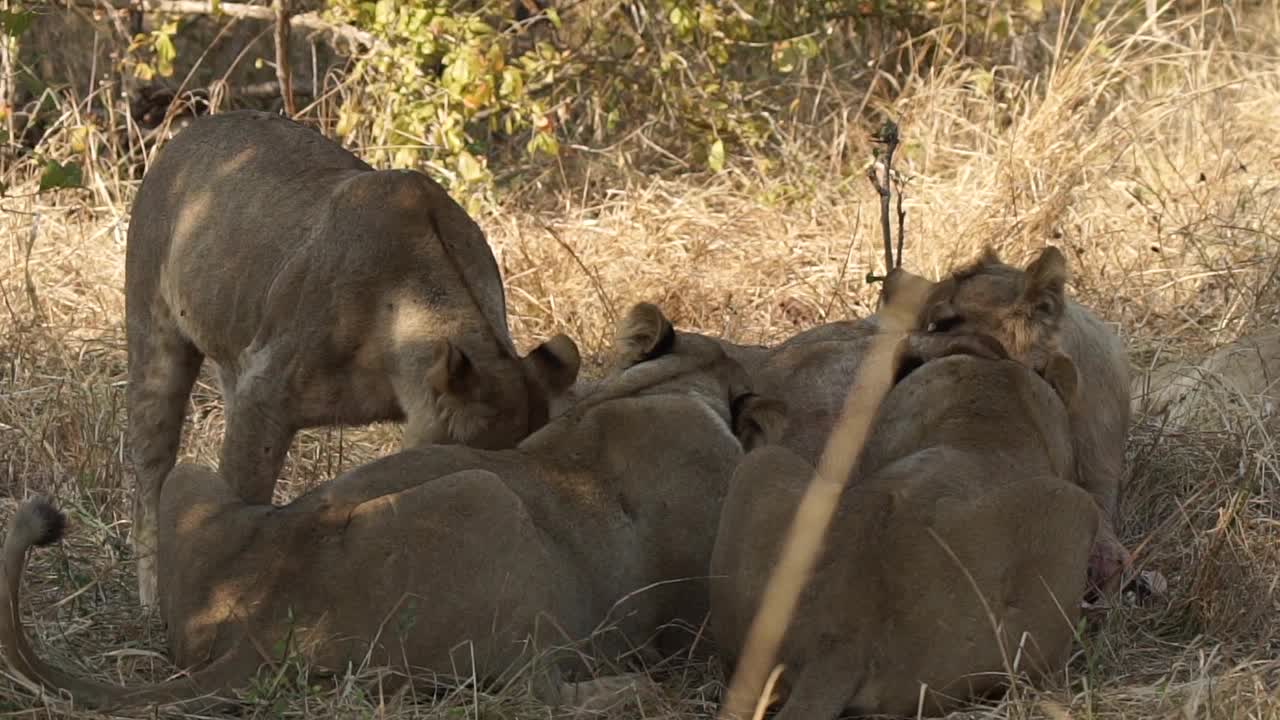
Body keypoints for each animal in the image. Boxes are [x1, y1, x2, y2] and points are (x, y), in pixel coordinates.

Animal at [0, 299, 783, 707]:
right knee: (533, 694)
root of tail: (248, 622)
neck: (663, 386)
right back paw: (634, 694)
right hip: (487, 496)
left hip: (194, 478)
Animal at [126, 110, 581, 604]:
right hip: (153, 337)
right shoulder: (263, 395)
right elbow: (241, 499)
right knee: (149, 472)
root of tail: (195, 126)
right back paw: (151, 596)